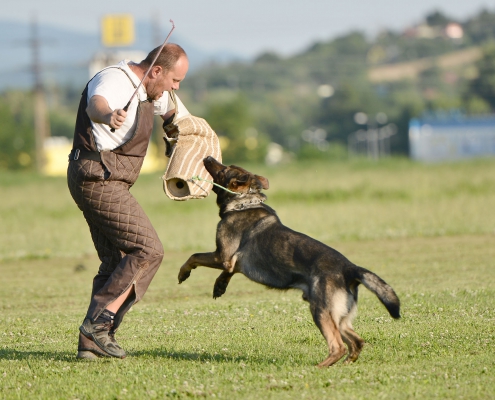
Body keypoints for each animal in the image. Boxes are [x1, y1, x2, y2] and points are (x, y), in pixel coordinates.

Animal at [178, 155, 400, 366]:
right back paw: (345, 364)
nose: (208, 157)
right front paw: (219, 286)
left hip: (321, 311)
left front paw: (183, 272)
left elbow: (194, 256)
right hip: (340, 317)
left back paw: (318, 367)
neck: (243, 203)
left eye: (224, 169)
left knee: (338, 346)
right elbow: (227, 272)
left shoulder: (222, 256)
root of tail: (350, 269)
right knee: (357, 342)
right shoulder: (232, 261)